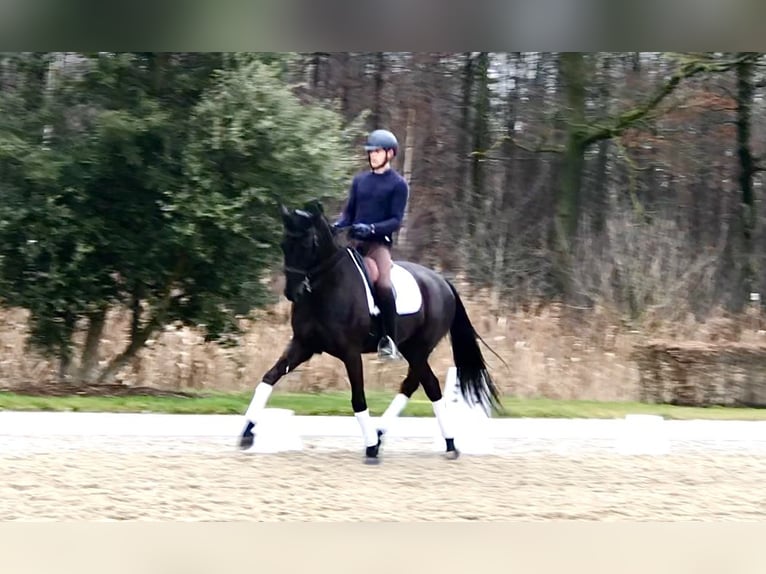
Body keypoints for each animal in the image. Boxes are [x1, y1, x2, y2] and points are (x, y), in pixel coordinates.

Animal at [238, 201, 504, 463]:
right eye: (283, 245)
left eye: (306, 245)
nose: (292, 292)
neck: (326, 287)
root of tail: (442, 282)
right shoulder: (303, 345)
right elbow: (268, 378)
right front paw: (247, 433)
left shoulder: (350, 352)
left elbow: (358, 399)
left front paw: (370, 449)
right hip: (410, 348)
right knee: (414, 384)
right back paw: (382, 435)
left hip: (419, 348)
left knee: (429, 386)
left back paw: (446, 444)